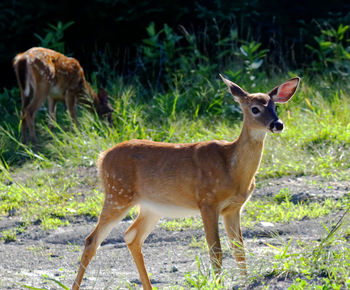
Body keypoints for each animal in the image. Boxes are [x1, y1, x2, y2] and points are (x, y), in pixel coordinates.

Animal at [72, 75, 300, 290]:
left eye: (275, 107)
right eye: (255, 108)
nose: (278, 124)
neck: (232, 168)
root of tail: (101, 158)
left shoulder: (233, 208)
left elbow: (239, 249)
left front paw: (245, 282)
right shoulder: (207, 202)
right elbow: (216, 250)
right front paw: (219, 284)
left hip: (150, 207)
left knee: (131, 236)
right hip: (117, 194)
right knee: (92, 240)